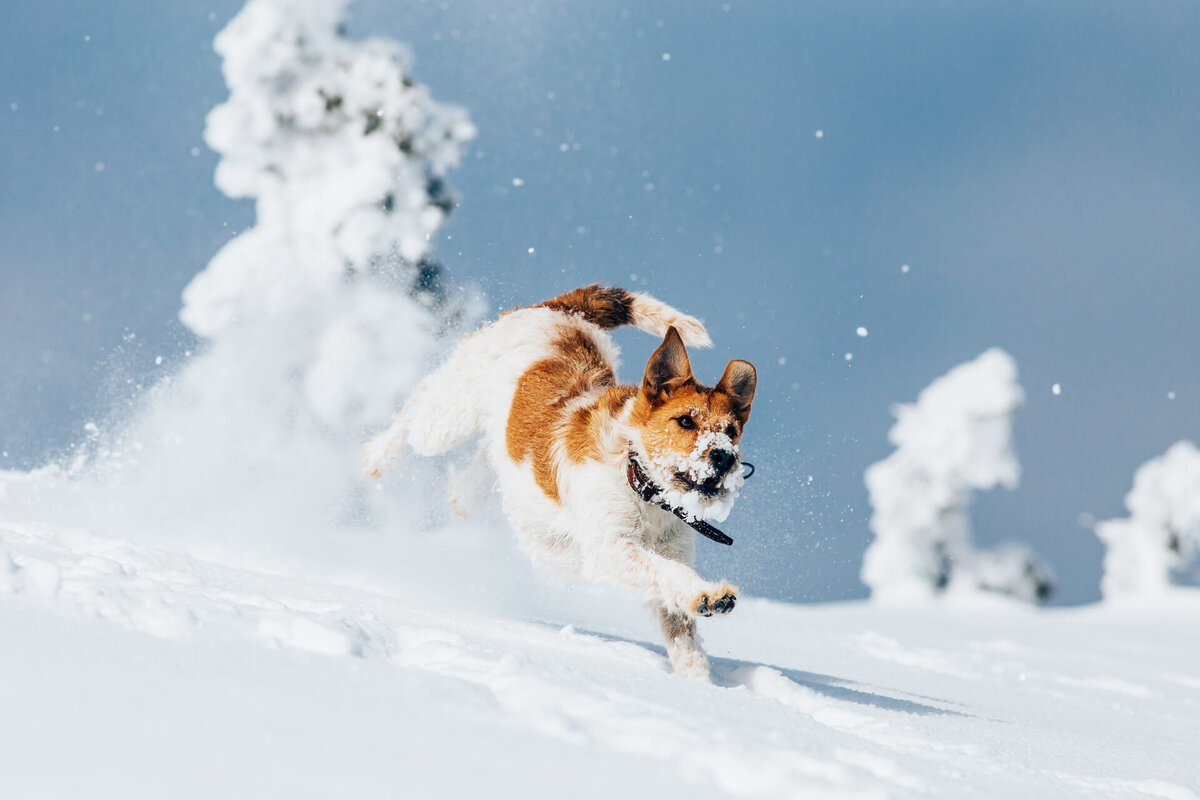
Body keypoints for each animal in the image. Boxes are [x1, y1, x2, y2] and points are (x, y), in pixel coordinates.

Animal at [362, 284, 758, 681]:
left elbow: (681, 629)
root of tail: (564, 309)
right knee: (417, 405)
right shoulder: (610, 548)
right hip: (450, 416)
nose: (724, 457)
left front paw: (700, 681)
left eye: (731, 431)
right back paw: (379, 456)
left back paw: (465, 493)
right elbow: (667, 572)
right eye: (685, 421)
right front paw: (708, 594)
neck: (640, 483)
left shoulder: (668, 552)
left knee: (493, 447)